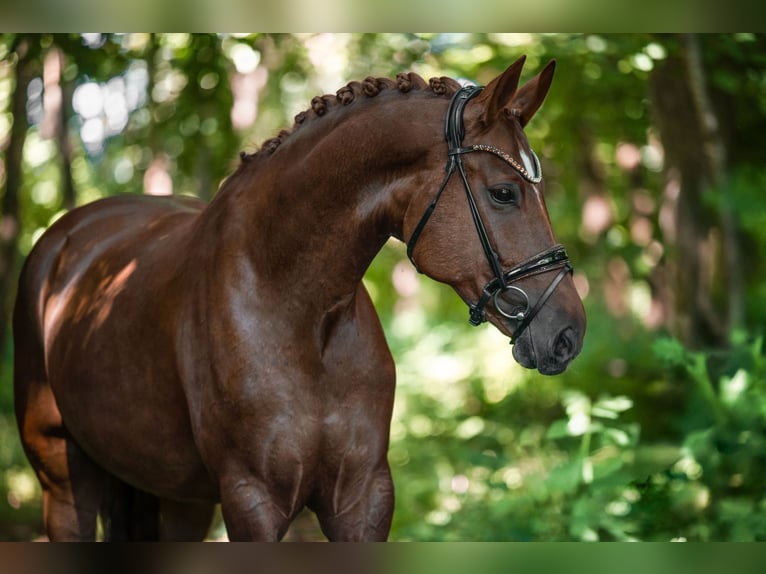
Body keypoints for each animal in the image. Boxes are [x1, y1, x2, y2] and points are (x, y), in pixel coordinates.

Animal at [13, 55, 585, 541]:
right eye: (504, 193)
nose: (568, 333)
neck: (299, 312)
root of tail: (63, 239)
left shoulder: (362, 498)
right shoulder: (253, 501)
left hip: (178, 497)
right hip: (64, 479)